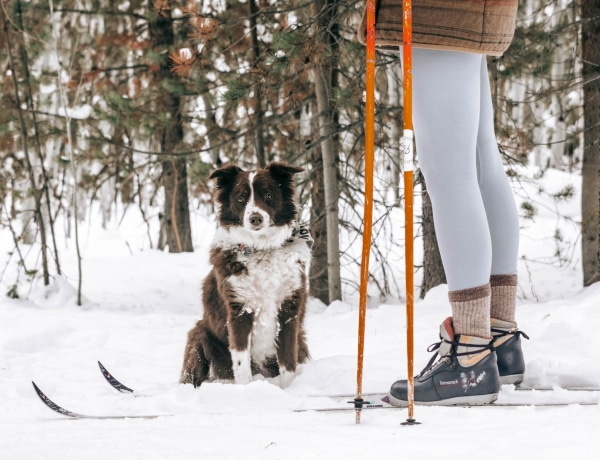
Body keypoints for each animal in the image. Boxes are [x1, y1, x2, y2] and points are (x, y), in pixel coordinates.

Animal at [180, 162, 312, 388]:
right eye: (241, 198)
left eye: (268, 195)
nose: (255, 218)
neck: (261, 248)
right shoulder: (239, 310)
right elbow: (241, 363)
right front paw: (246, 390)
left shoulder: (289, 310)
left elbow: (288, 362)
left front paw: (287, 390)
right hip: (200, 335)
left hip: (301, 339)